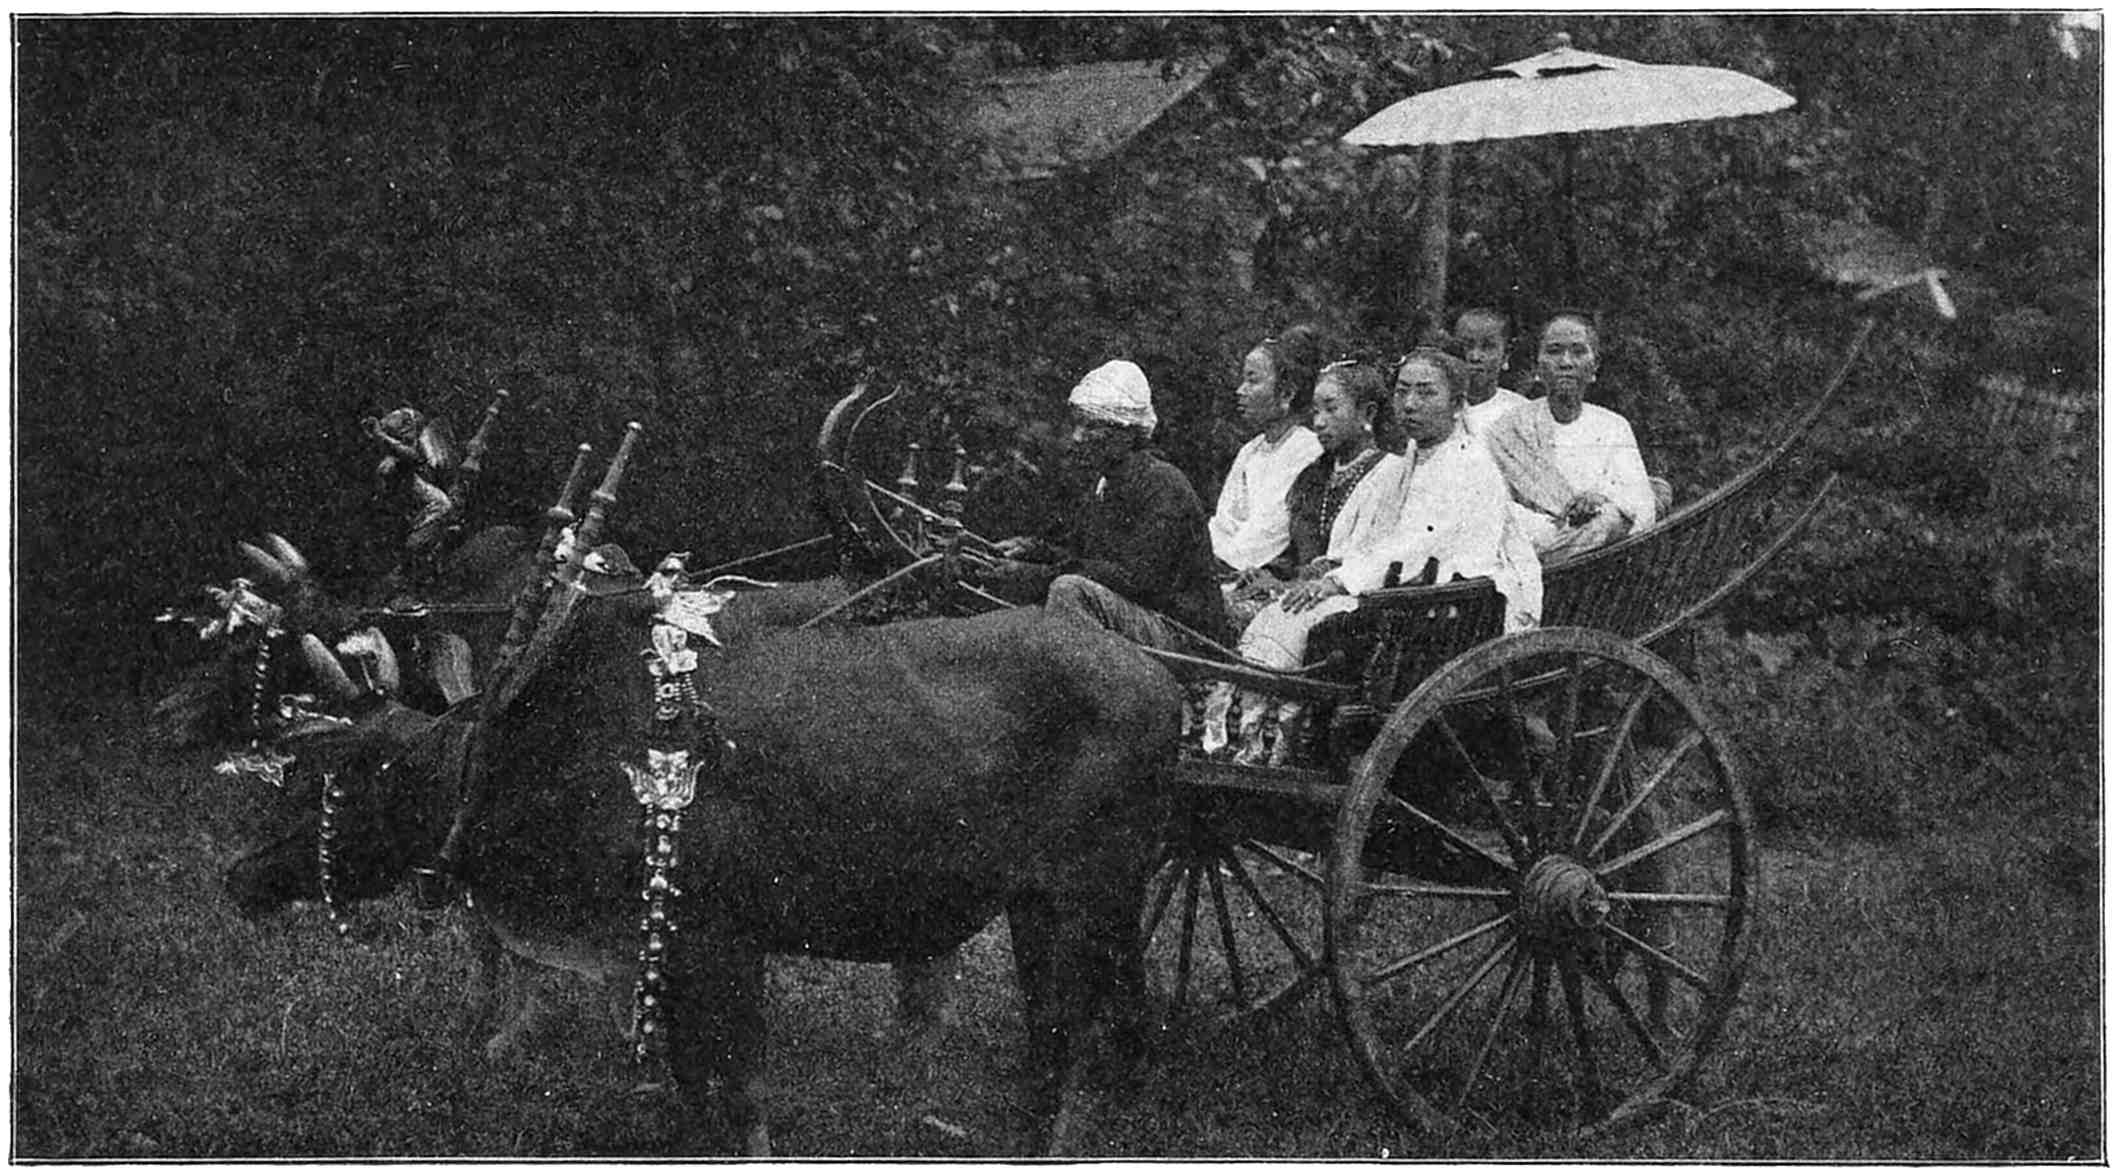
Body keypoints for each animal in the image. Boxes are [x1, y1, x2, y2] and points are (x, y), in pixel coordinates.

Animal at [222, 575, 1184, 1155]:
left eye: (326, 772)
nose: (236, 875)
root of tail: (1165, 684)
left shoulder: (717, 936)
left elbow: (739, 1089)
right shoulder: (677, 951)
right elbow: (694, 1085)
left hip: (1093, 891)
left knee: (1081, 1037)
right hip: (1046, 902)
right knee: (1073, 1028)